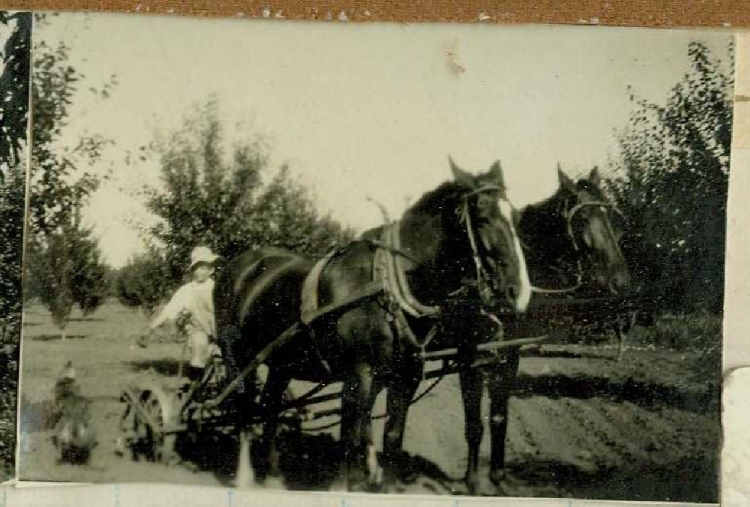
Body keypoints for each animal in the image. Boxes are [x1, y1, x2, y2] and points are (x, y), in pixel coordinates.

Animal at [213, 157, 532, 492]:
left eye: (516, 218)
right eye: (482, 218)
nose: (518, 293)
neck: (388, 285)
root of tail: (237, 265)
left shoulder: (406, 375)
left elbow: (391, 435)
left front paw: (384, 483)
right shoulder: (360, 373)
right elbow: (351, 435)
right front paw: (346, 484)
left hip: (281, 362)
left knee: (271, 405)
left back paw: (273, 474)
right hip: (238, 356)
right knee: (244, 405)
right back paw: (245, 476)